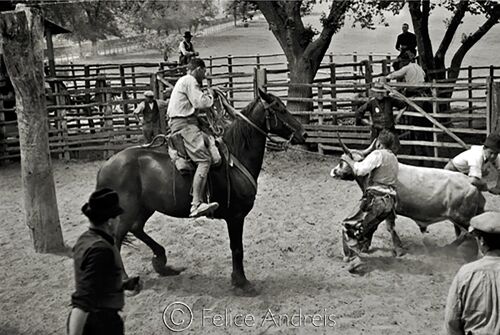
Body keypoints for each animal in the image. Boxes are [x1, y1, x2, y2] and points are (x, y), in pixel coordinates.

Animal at [93, 88, 304, 294]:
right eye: (279, 108)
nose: (303, 133)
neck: (236, 158)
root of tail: (105, 167)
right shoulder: (236, 217)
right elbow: (237, 249)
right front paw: (242, 282)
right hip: (128, 211)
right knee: (117, 239)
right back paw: (127, 281)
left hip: (146, 207)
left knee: (137, 228)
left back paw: (162, 264)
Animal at [332, 138, 484, 258]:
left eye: (341, 161)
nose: (333, 171)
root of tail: (472, 184)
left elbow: (384, 228)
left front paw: (394, 249)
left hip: (462, 219)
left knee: (469, 234)